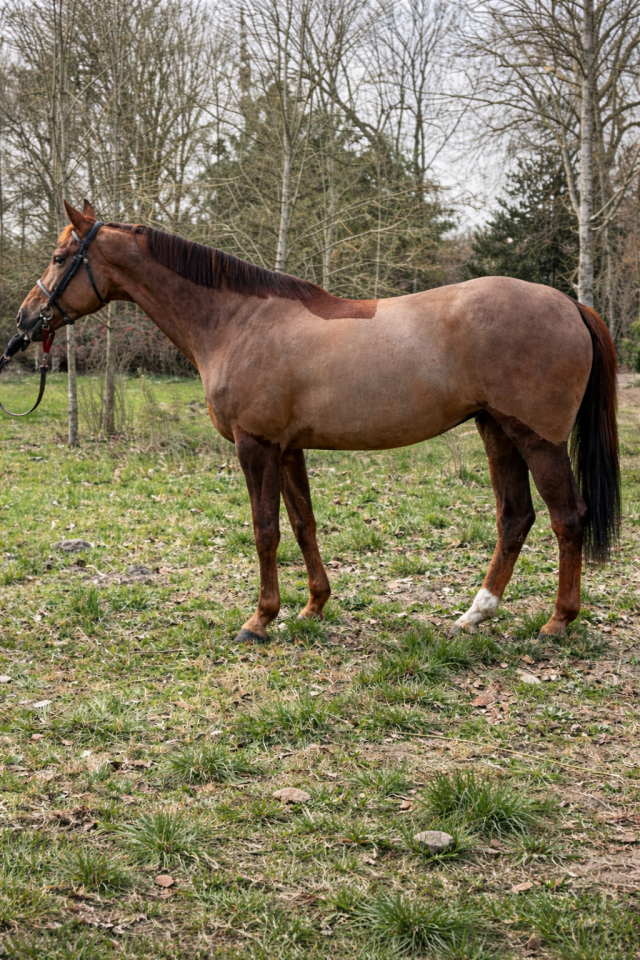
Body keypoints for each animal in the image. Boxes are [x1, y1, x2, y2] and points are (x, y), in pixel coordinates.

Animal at [16, 199, 620, 644]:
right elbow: (304, 524)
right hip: (496, 430)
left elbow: (266, 530)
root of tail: (570, 304)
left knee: (567, 517)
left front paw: (260, 619)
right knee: (515, 518)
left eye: (60, 256)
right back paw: (476, 614)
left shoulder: (255, 445)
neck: (237, 321)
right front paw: (312, 607)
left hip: (538, 439)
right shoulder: (287, 448)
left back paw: (558, 621)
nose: (25, 320)